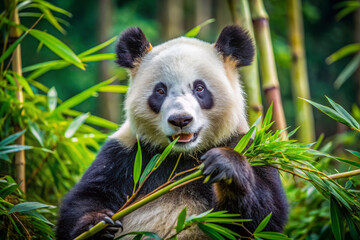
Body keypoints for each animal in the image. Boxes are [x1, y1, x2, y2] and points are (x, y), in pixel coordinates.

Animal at [57, 25, 286, 239]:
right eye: (160, 90)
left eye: (199, 88)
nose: (181, 119)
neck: (182, 155)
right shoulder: (124, 154)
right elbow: (84, 198)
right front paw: (97, 226)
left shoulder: (245, 144)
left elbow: (264, 218)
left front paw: (224, 165)